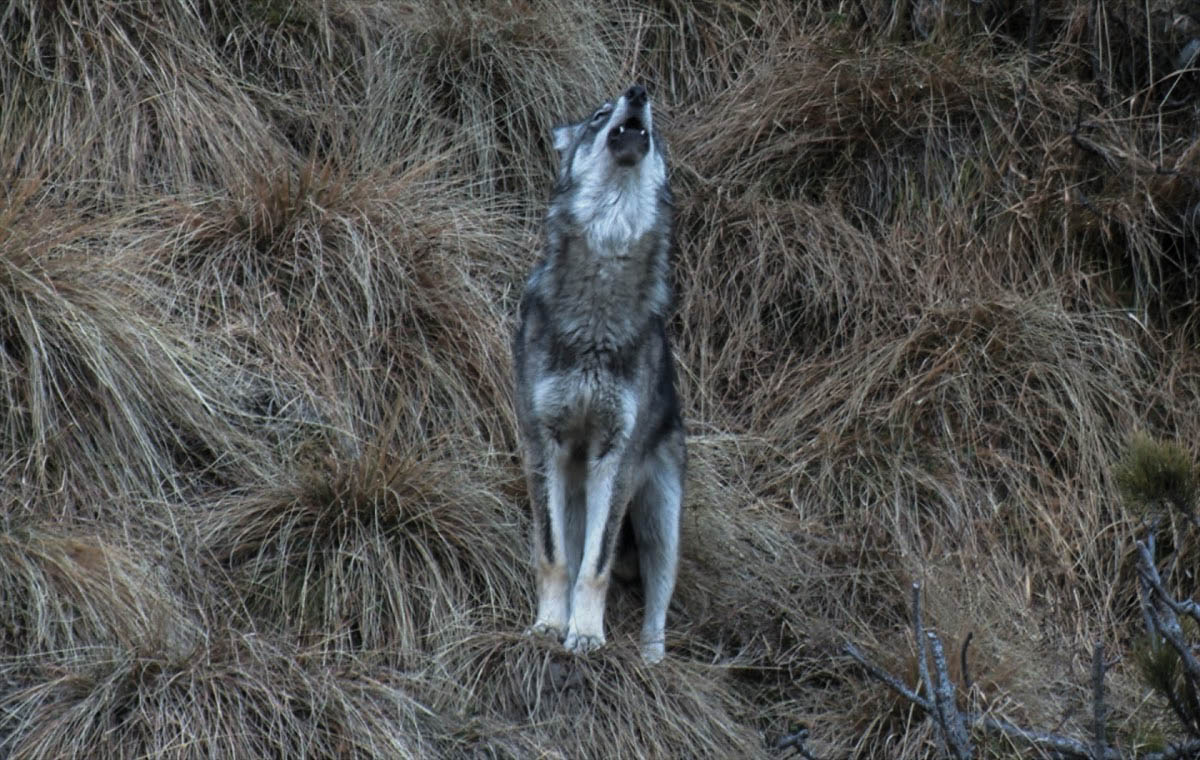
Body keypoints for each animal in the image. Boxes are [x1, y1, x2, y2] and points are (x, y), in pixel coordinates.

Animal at [513, 84, 686, 662]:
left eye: (655, 121)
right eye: (598, 115)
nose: (638, 90)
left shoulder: (617, 456)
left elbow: (596, 566)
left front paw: (587, 635)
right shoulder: (542, 444)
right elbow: (556, 558)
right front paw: (549, 626)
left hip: (660, 520)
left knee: (658, 605)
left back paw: (651, 662)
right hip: (573, 487)